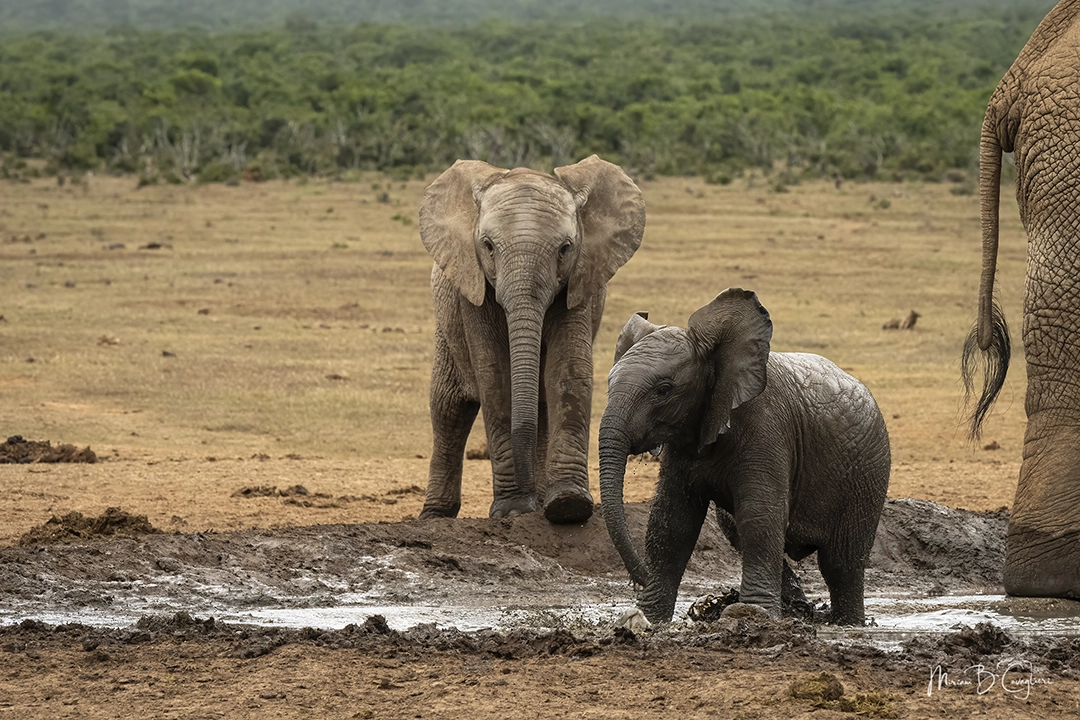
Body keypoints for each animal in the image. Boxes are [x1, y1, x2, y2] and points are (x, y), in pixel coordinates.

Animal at [418, 155, 646, 524]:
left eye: (565, 249)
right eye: (488, 247)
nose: (527, 500)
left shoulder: (582, 280)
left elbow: (568, 371)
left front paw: (568, 505)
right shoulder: (474, 291)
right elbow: (494, 376)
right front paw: (513, 508)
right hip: (446, 322)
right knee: (449, 408)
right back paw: (436, 516)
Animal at [598, 289, 891, 624]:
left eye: (664, 389)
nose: (640, 578)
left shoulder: (767, 427)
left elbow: (760, 514)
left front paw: (753, 614)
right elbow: (672, 519)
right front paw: (648, 617)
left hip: (867, 473)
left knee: (841, 563)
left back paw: (848, 624)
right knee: (733, 527)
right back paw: (800, 606)